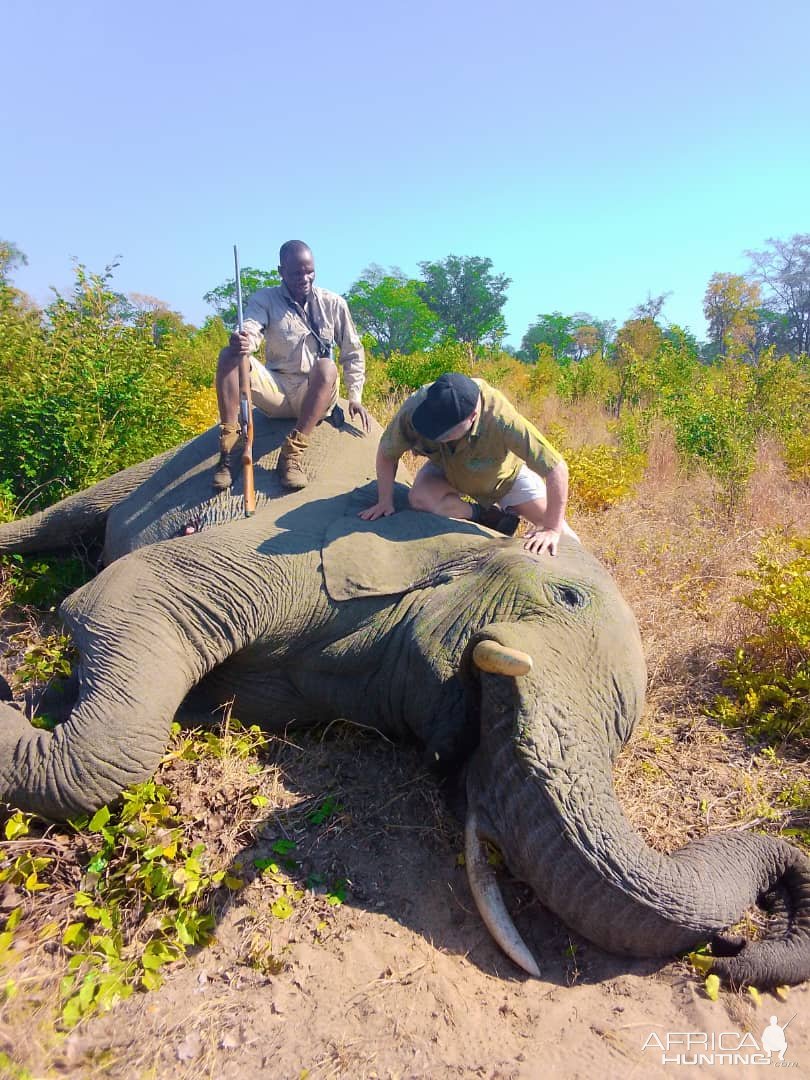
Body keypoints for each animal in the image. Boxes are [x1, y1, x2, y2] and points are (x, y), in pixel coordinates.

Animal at [0, 412, 807, 989]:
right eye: (566, 598)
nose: (735, 947)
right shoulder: (304, 550)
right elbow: (123, 607)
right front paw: (23, 692)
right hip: (167, 461)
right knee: (59, 521)